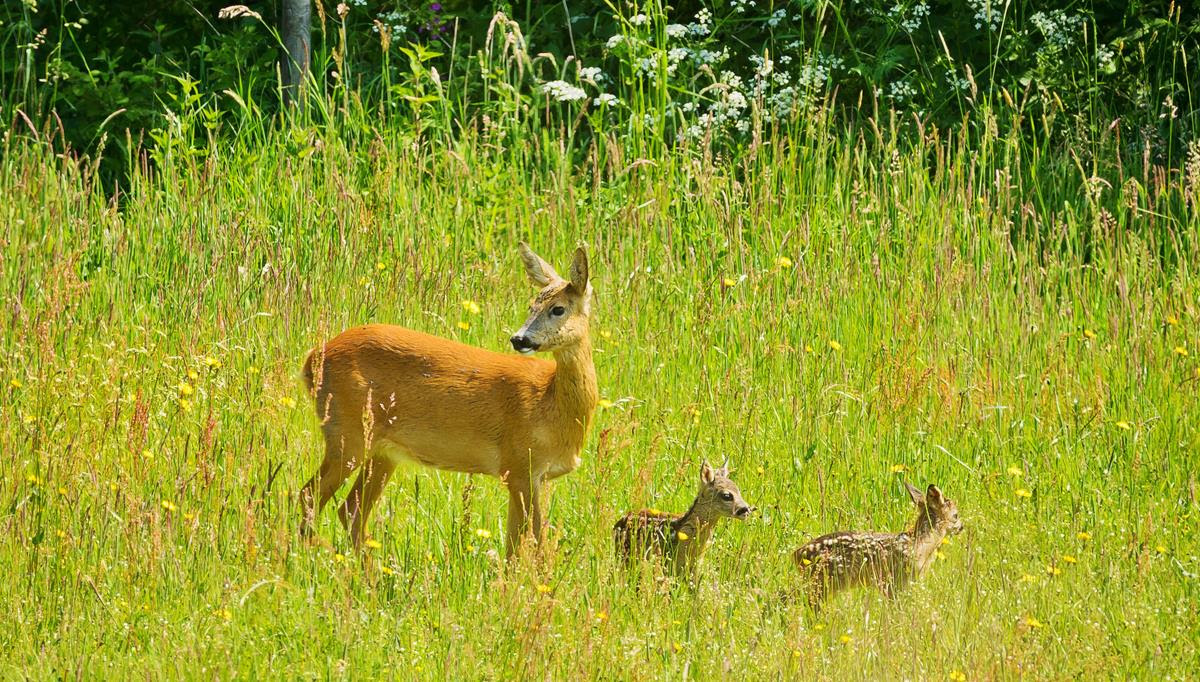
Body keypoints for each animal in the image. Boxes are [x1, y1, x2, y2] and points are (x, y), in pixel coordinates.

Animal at [297, 242, 597, 557]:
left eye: (558, 308)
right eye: (531, 306)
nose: (519, 339)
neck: (551, 405)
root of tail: (311, 360)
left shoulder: (524, 475)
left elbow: (514, 546)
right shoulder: (519, 466)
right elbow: (535, 546)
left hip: (383, 451)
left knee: (350, 509)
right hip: (347, 433)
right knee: (309, 495)